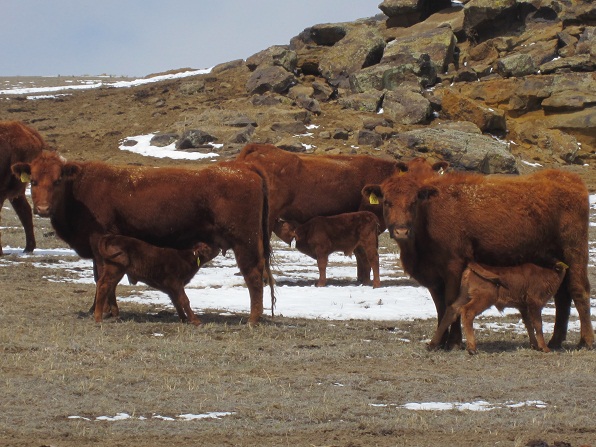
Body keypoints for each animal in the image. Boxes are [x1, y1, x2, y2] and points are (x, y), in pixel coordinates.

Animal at [11, 153, 274, 326]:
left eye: (58, 180)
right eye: (33, 181)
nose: (42, 209)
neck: (79, 191)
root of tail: (244, 169)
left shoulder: (99, 242)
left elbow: (102, 278)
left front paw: (107, 311)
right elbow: (102, 279)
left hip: (245, 241)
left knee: (253, 275)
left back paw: (253, 319)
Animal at [364, 170, 592, 352]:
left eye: (413, 202)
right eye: (387, 202)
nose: (401, 230)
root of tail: (568, 179)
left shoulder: (453, 267)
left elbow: (451, 303)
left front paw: (454, 342)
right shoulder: (433, 278)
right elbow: (439, 306)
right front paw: (440, 341)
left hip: (575, 251)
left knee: (578, 290)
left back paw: (586, 340)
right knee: (563, 296)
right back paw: (555, 341)